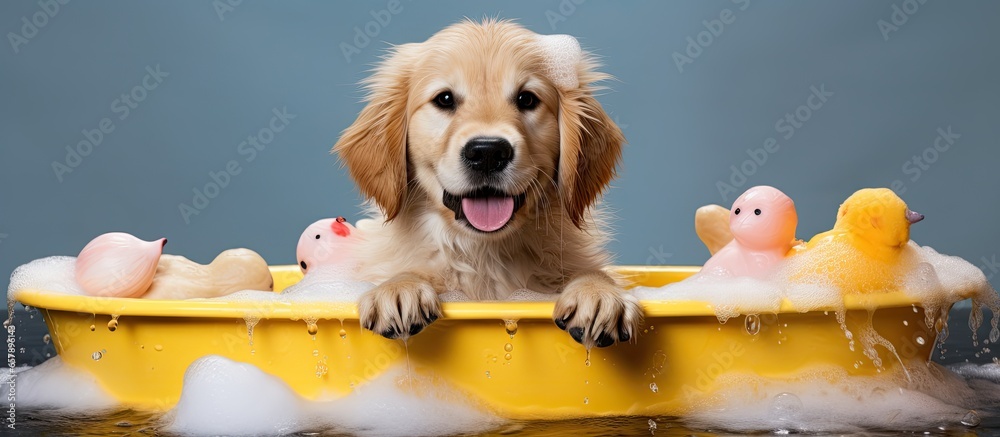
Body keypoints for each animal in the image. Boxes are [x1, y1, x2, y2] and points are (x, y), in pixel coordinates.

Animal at [330, 18, 640, 348]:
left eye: (527, 99)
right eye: (444, 99)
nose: (488, 153)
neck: (483, 254)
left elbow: (592, 273)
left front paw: (598, 292)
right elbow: (405, 272)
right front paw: (399, 288)